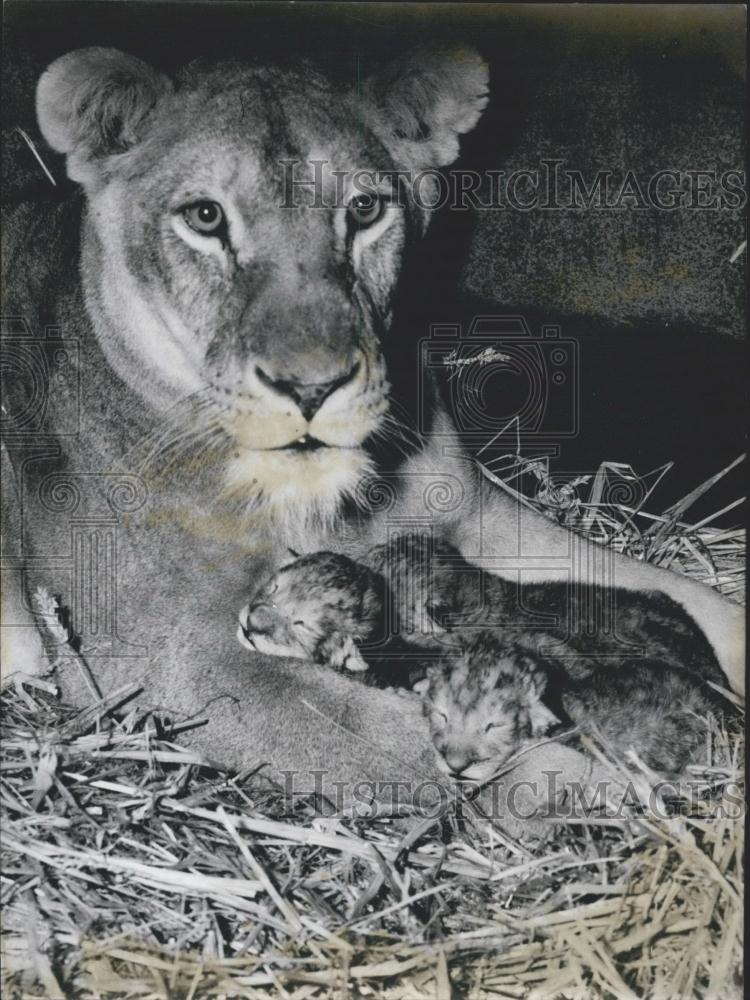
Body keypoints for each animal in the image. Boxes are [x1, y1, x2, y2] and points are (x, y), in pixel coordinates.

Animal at [1, 45, 743, 823]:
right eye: (204, 217)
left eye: (364, 209)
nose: (312, 387)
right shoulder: (164, 659)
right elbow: (406, 742)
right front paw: (613, 788)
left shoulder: (484, 521)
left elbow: (703, 604)